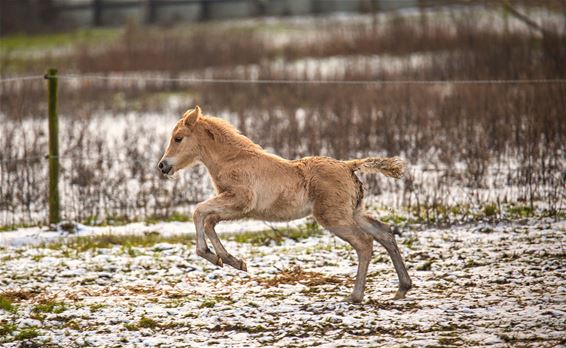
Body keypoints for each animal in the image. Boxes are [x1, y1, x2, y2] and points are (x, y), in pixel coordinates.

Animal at [160, 105, 412, 302]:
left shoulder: (240, 201)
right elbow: (209, 221)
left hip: (334, 218)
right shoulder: (236, 208)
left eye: (178, 138)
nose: (163, 166)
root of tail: (349, 166)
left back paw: (355, 296)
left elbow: (199, 212)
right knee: (384, 232)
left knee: (364, 243)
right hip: (354, 212)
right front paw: (232, 261)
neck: (233, 160)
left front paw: (210, 255)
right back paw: (402, 288)